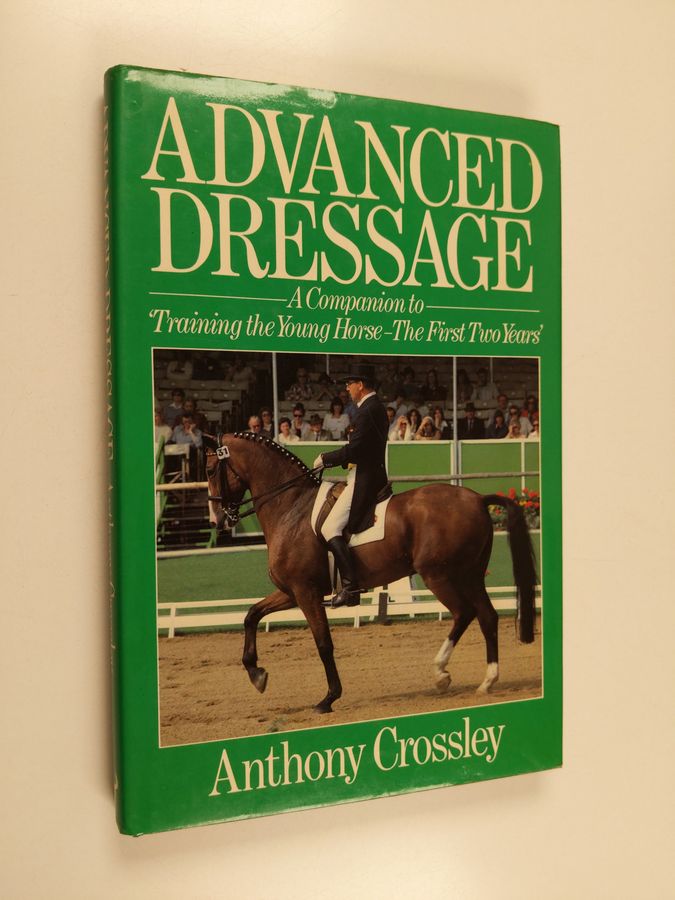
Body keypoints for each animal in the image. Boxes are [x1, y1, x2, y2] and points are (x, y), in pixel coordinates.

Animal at [205, 433, 537, 714]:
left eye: (209, 470)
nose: (217, 521)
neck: (290, 508)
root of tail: (477, 499)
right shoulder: (291, 591)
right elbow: (251, 615)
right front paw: (256, 674)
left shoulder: (306, 592)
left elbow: (323, 643)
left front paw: (328, 699)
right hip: (470, 575)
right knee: (487, 616)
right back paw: (488, 680)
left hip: (439, 576)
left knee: (464, 613)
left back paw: (441, 673)